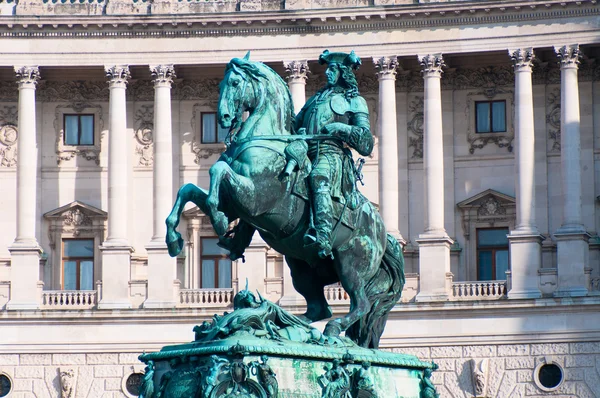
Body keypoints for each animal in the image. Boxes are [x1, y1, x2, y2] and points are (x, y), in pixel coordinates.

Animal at [166, 52, 406, 348]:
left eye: (235, 82)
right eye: (221, 83)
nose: (223, 117)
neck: (265, 140)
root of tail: (383, 233)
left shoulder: (253, 198)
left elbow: (216, 172)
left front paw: (219, 222)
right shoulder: (234, 203)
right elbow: (187, 189)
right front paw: (174, 239)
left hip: (351, 263)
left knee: (359, 303)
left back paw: (325, 328)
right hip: (301, 265)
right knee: (319, 308)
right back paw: (282, 321)